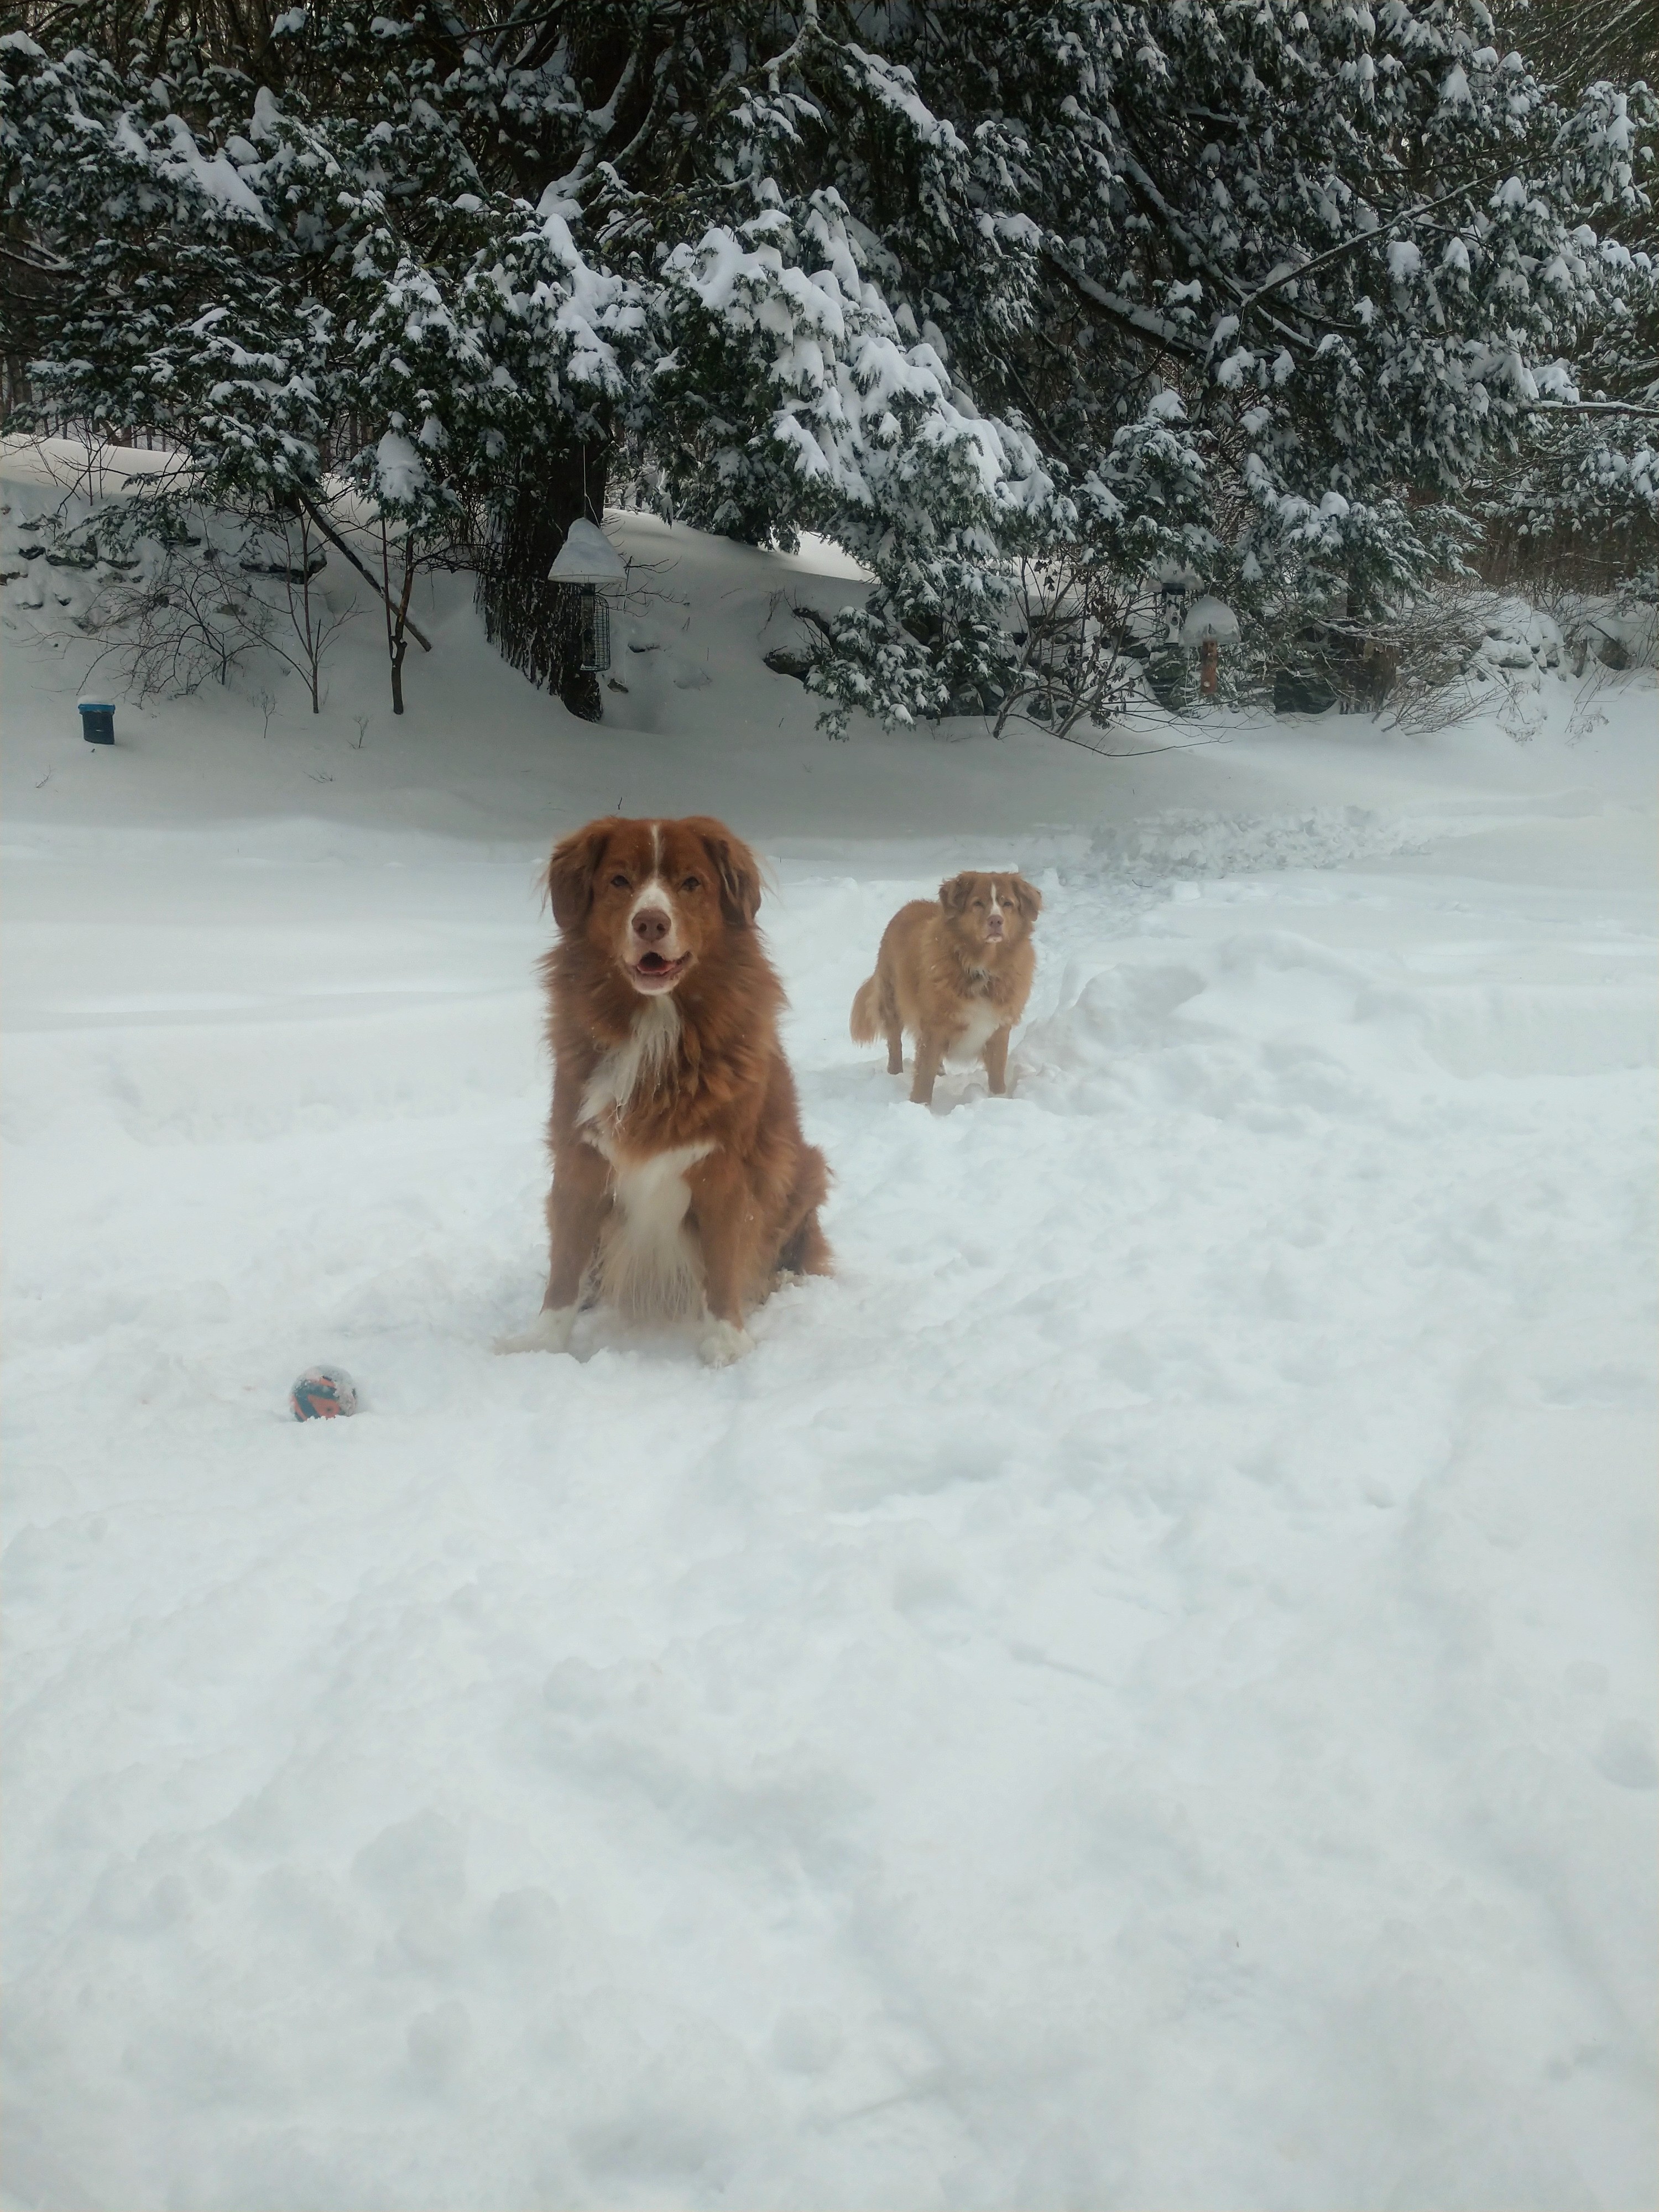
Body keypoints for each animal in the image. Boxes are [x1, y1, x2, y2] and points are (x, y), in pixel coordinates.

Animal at [493, 814, 832, 1363]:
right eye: (619, 881)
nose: (650, 923)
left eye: (691, 883)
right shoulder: (580, 1158)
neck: (656, 1028)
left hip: (805, 1166)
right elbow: (564, 1264)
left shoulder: (726, 1168)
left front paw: (727, 1342)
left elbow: (724, 1262)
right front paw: (542, 1342)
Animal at [858, 863, 1040, 1106]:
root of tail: (910, 905)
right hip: (891, 1001)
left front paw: (999, 1100)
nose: (996, 921)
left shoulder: (999, 1028)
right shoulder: (934, 1027)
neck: (982, 966)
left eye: (1007, 904)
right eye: (978, 903)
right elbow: (924, 1076)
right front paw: (920, 1106)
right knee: (895, 1044)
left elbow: (997, 1074)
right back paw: (894, 1074)